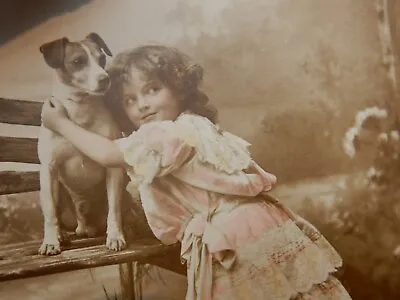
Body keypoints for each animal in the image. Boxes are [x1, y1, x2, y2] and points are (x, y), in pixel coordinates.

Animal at [37, 32, 126, 254]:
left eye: (102, 59)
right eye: (78, 61)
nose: (105, 79)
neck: (80, 110)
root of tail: (84, 227)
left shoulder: (114, 171)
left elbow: (114, 209)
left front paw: (115, 236)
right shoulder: (49, 169)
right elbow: (50, 213)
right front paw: (50, 241)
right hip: (58, 190)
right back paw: (61, 235)